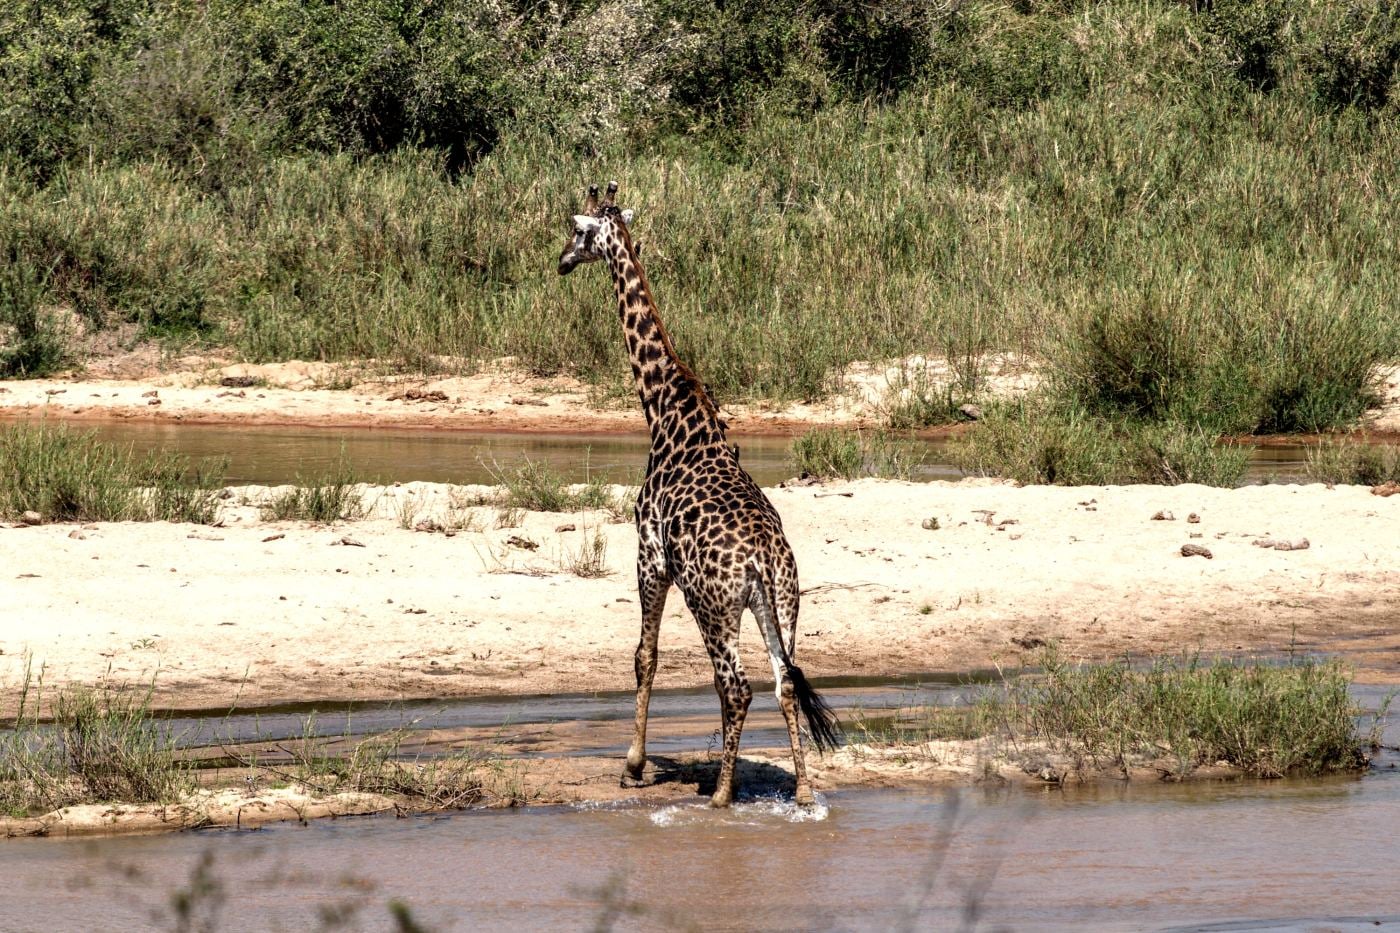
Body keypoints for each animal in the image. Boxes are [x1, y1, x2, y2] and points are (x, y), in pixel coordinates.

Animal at [557, 181, 840, 808]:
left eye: (578, 231)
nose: (560, 261)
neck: (663, 402)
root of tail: (761, 560)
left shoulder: (648, 555)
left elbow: (645, 656)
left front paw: (632, 766)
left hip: (714, 607)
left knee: (736, 687)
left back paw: (720, 796)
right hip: (782, 604)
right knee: (785, 682)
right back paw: (805, 793)